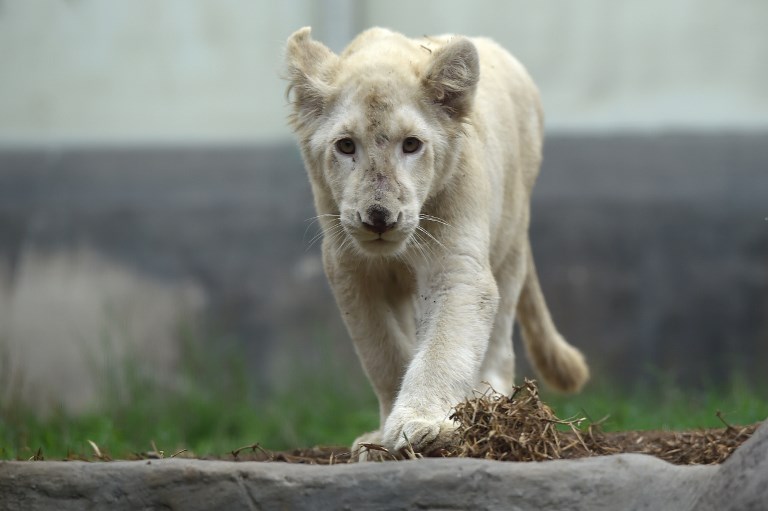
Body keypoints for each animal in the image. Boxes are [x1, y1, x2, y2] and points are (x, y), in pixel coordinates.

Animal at [284, 27, 592, 460]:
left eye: (411, 144)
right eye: (346, 146)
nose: (379, 218)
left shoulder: (457, 266)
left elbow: (444, 346)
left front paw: (422, 425)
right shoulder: (351, 272)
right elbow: (383, 354)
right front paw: (381, 438)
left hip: (511, 241)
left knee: (499, 341)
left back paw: (489, 405)